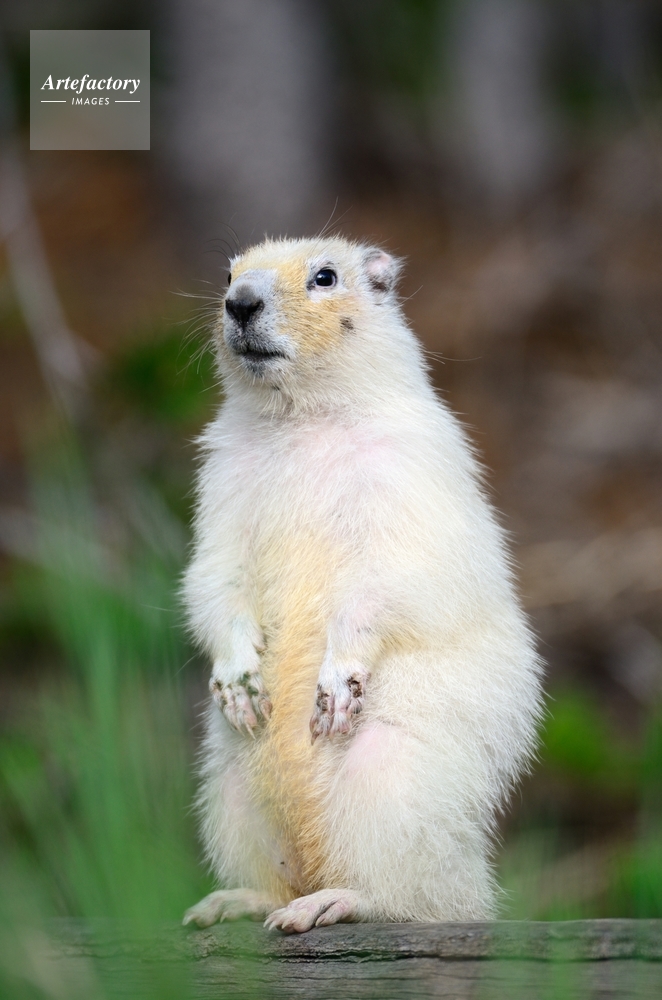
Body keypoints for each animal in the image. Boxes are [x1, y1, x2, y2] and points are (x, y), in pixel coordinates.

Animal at [182, 236, 543, 933]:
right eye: (229, 272)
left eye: (326, 277)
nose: (239, 302)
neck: (300, 418)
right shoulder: (220, 487)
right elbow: (214, 576)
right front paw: (239, 683)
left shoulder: (406, 475)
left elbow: (387, 583)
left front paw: (334, 684)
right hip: (230, 791)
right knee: (279, 881)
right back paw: (232, 903)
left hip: (391, 782)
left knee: (415, 903)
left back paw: (332, 902)